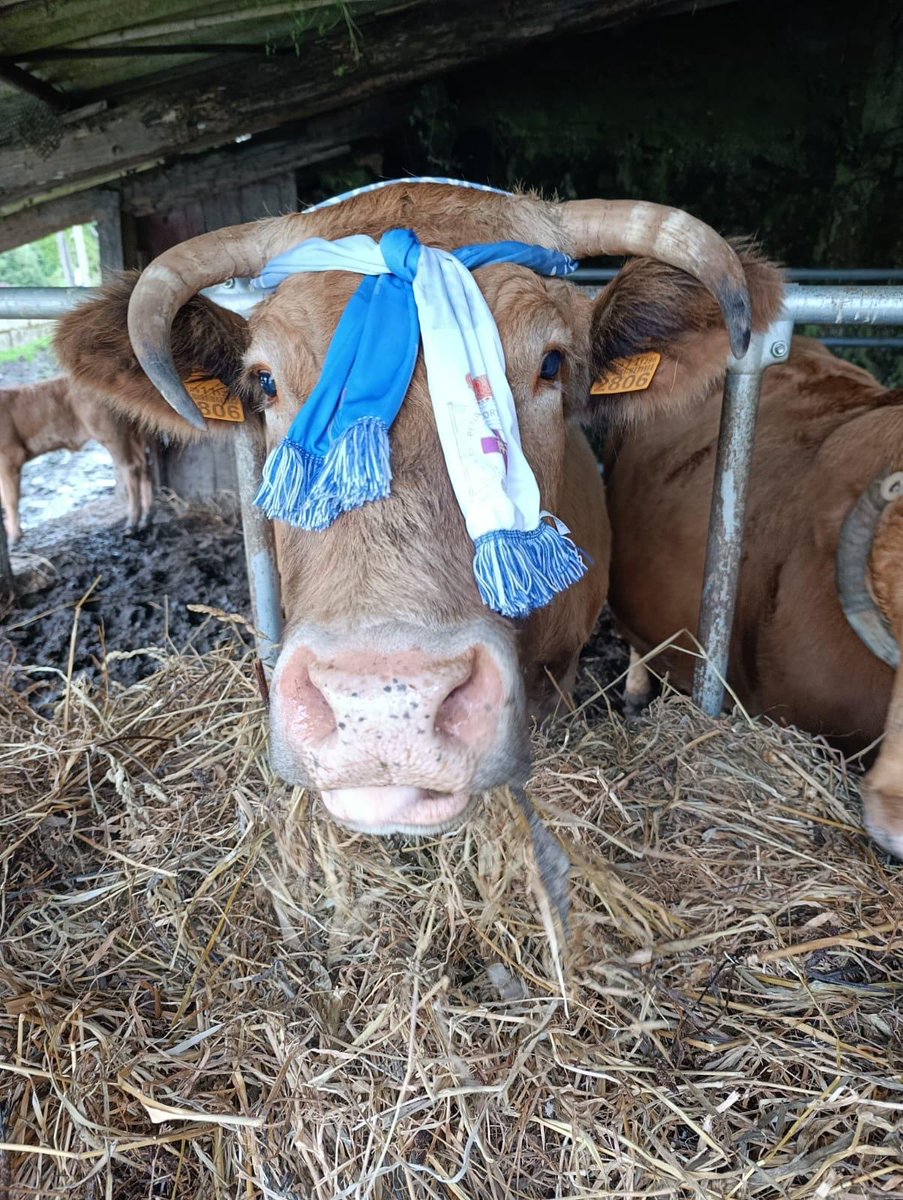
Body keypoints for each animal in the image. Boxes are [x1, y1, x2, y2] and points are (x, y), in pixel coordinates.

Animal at [0, 376, 154, 543]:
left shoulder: (10, 457)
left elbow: (10, 499)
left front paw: (13, 537)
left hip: (111, 433)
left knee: (131, 466)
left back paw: (132, 524)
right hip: (133, 431)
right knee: (144, 462)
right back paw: (146, 518)